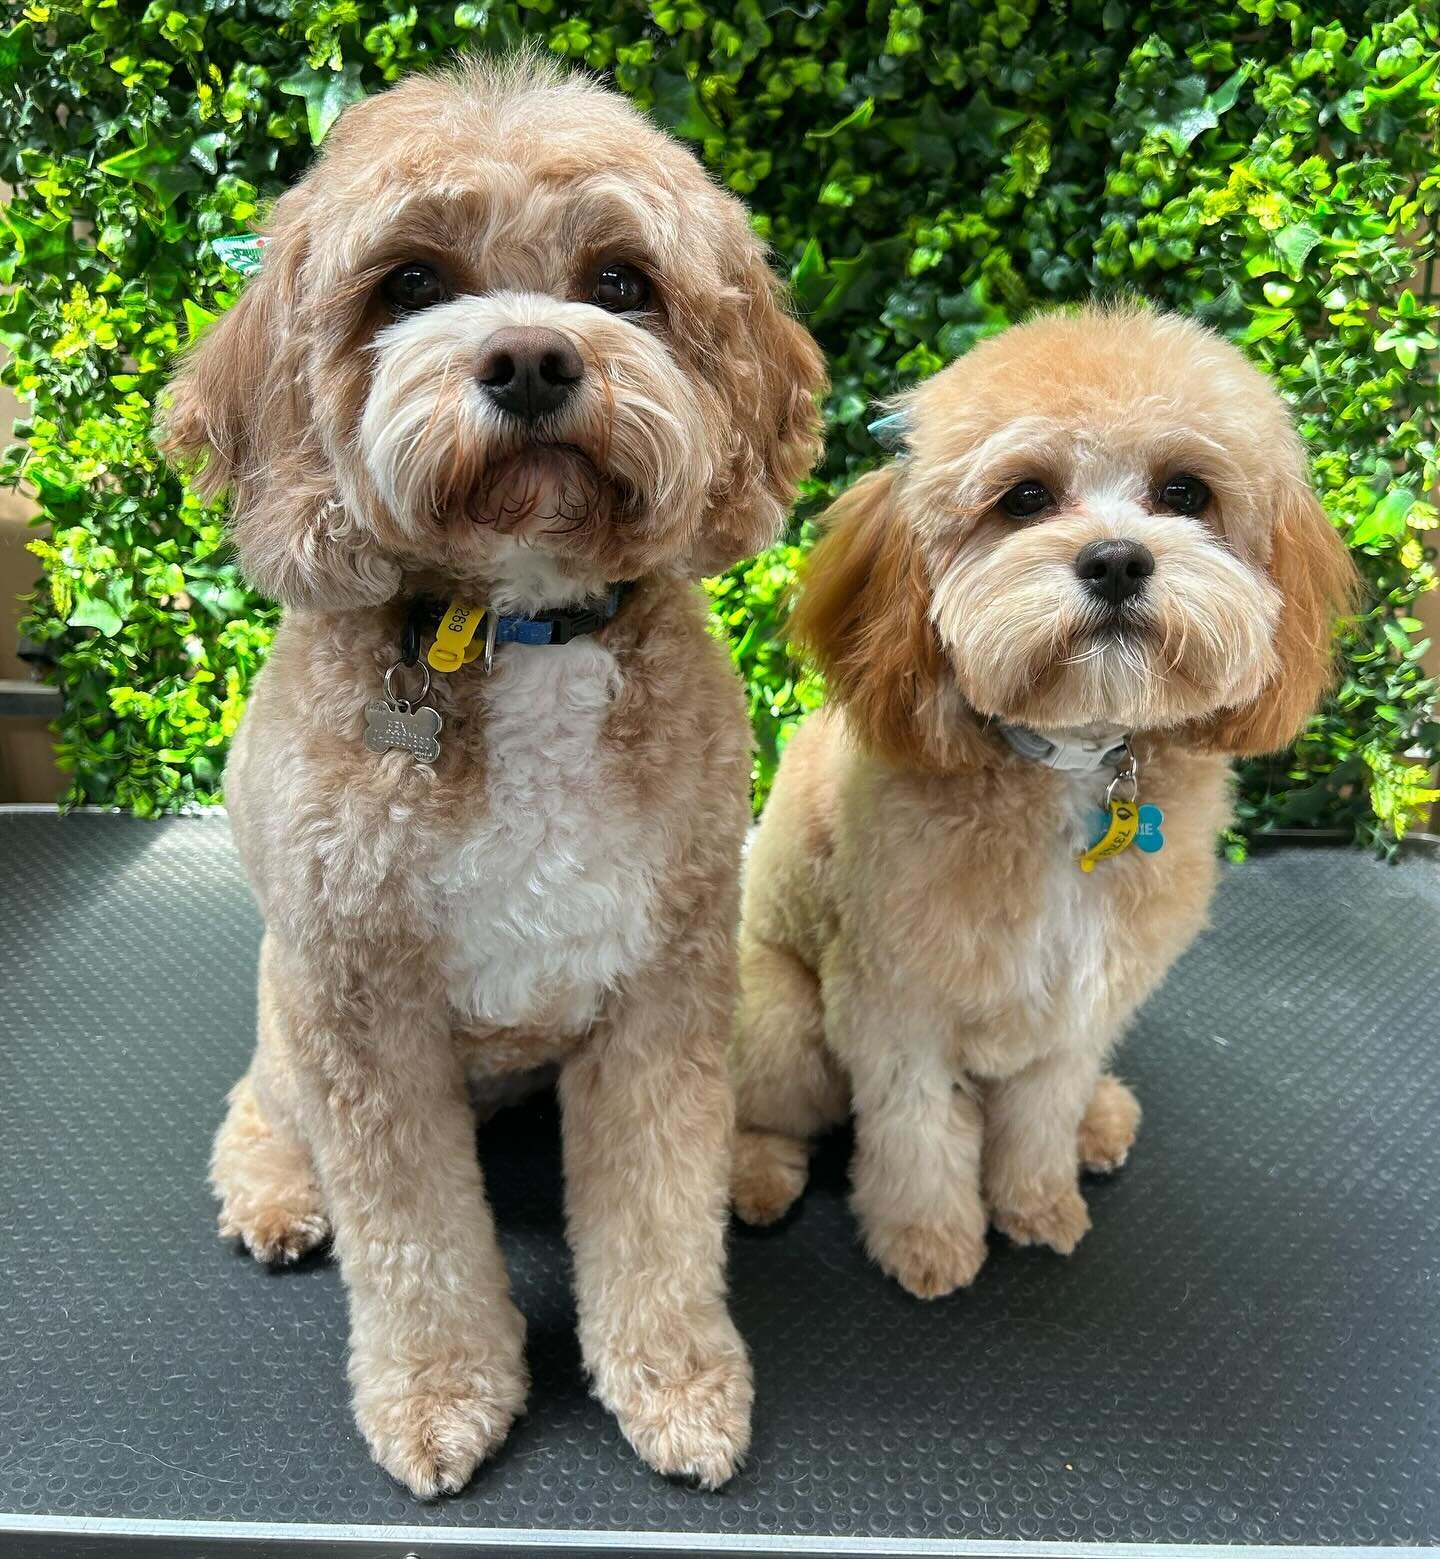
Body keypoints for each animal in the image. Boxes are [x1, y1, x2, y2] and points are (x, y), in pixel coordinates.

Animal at [160, 57, 822, 1496]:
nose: (529, 358)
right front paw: (437, 1392)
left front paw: (675, 1381)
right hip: (290, 1001)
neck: (521, 625)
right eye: (410, 282)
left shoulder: (662, 980)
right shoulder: (362, 1003)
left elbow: (656, 1204)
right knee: (257, 1100)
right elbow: (413, 1238)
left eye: (623, 281)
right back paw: (275, 1192)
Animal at [732, 304, 1352, 1303]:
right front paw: (928, 1238)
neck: (1070, 766)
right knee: (764, 1112)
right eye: (1024, 497)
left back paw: (1100, 1118)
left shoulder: (1082, 996)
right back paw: (758, 1172)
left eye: (1185, 492)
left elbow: (1040, 1113)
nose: (1117, 559)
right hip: (784, 1018)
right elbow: (917, 1132)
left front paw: (1037, 1202)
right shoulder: (898, 999)